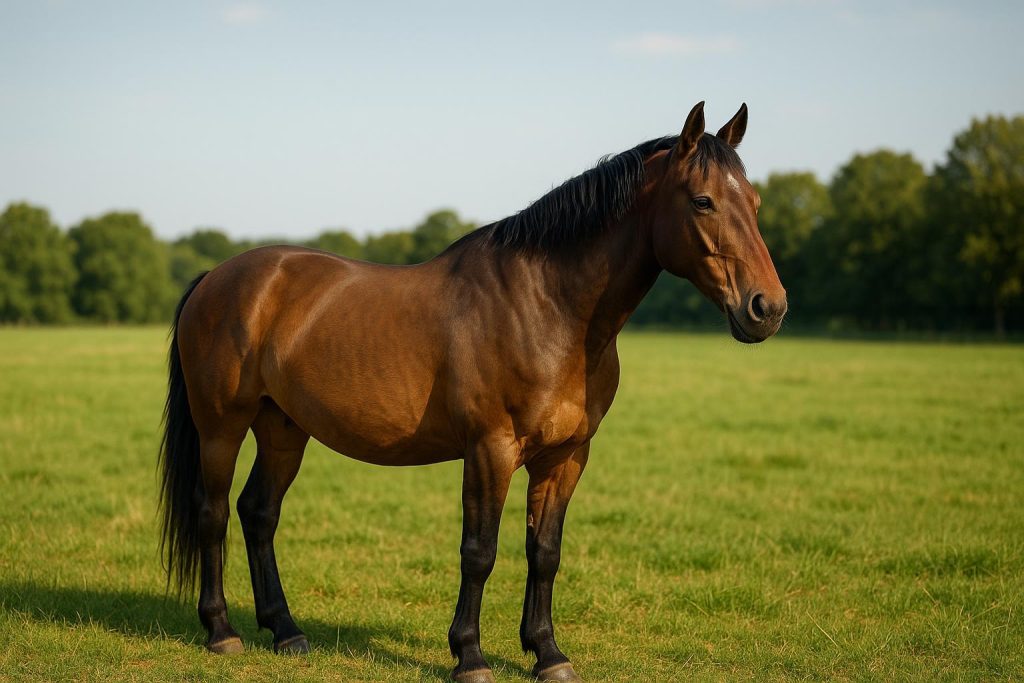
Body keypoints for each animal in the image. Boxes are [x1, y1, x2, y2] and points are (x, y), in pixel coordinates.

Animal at [159, 101, 787, 682]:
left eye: (756, 204)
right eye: (702, 201)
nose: (768, 308)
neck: (548, 308)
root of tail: (217, 278)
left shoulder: (565, 457)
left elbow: (545, 553)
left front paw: (547, 653)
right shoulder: (490, 449)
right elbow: (478, 552)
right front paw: (470, 656)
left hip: (284, 428)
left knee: (259, 513)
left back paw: (286, 631)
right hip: (222, 427)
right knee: (214, 511)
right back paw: (221, 631)